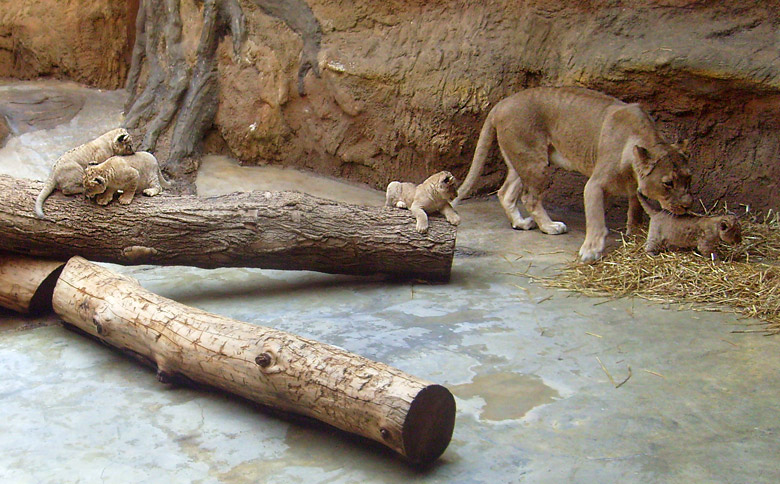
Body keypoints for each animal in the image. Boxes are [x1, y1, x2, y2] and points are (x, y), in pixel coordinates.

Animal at [458, 87, 696, 260]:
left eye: (689, 178)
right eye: (668, 183)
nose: (687, 205)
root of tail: (501, 103)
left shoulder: (634, 186)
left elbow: (635, 209)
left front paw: (635, 233)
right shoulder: (595, 184)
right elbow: (596, 218)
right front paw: (591, 250)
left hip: (521, 160)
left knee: (505, 192)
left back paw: (521, 223)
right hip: (534, 161)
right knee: (529, 197)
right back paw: (550, 226)